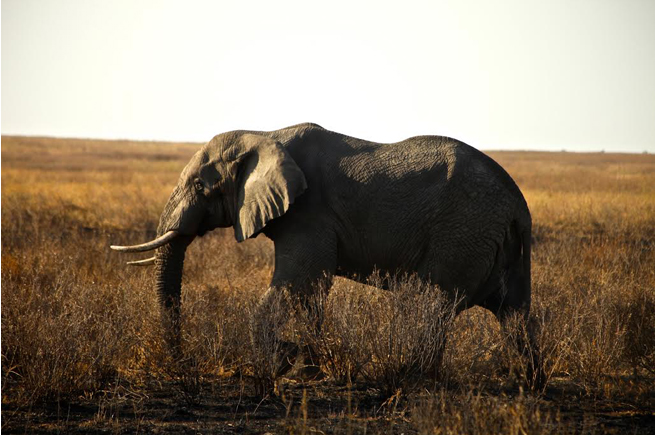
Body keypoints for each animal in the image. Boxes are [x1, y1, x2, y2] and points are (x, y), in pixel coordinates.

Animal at [111, 124, 544, 390]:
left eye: (202, 187)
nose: (183, 363)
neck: (264, 135)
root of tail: (519, 204)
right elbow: (312, 291)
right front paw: (307, 371)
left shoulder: (309, 212)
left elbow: (299, 280)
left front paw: (279, 366)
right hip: (495, 242)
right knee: (514, 313)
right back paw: (529, 383)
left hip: (464, 230)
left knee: (433, 303)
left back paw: (412, 377)